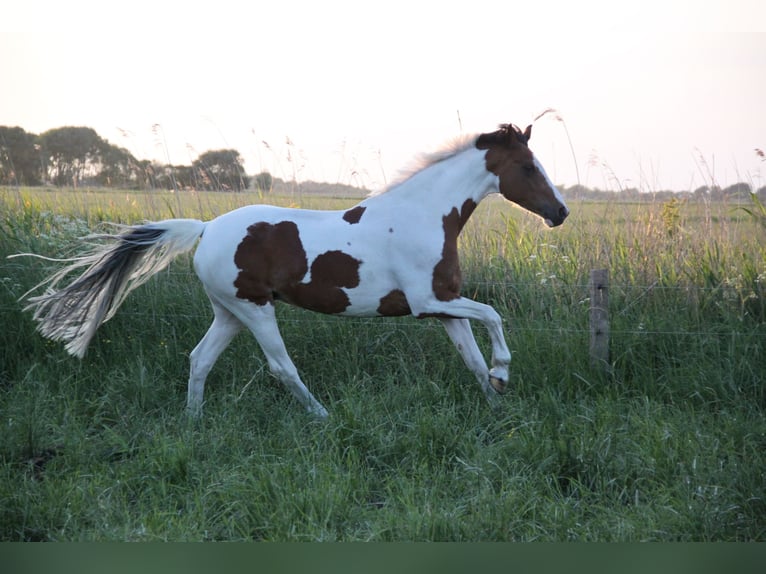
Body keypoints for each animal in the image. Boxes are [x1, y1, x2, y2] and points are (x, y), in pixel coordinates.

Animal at [16, 122, 568, 418]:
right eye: (528, 167)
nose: (560, 213)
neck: (426, 215)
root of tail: (205, 229)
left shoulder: (446, 306)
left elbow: (472, 357)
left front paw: (497, 400)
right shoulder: (427, 302)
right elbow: (494, 315)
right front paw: (503, 376)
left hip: (229, 312)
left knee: (199, 359)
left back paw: (194, 423)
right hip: (255, 309)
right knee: (281, 367)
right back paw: (321, 416)